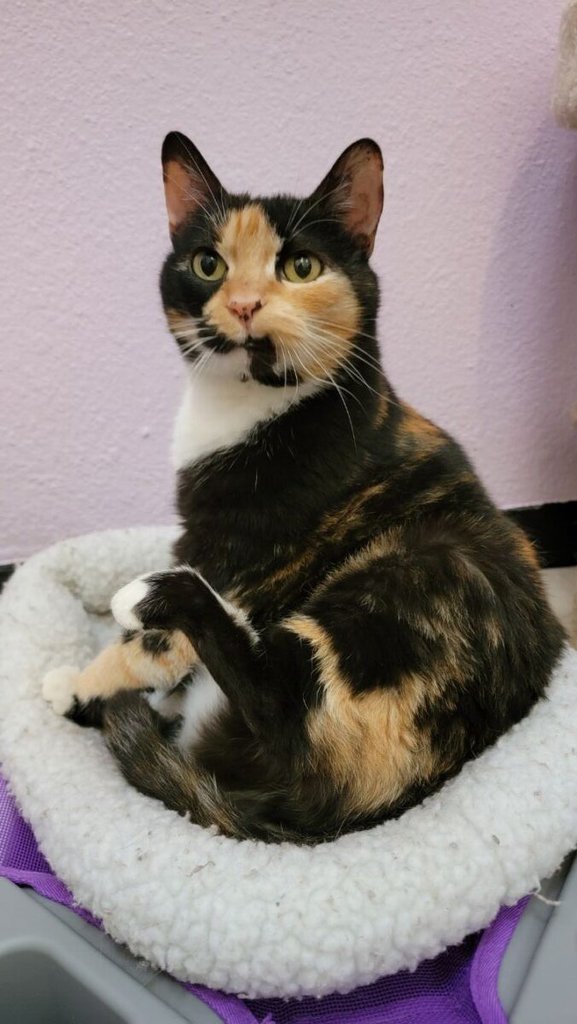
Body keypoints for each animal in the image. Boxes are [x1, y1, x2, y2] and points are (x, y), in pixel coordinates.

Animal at [43, 132, 565, 843]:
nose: (243, 304)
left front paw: (74, 685)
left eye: (300, 266)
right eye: (208, 264)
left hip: (415, 583)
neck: (249, 406)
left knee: (274, 703)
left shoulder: (232, 553)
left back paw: (152, 598)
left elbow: (151, 647)